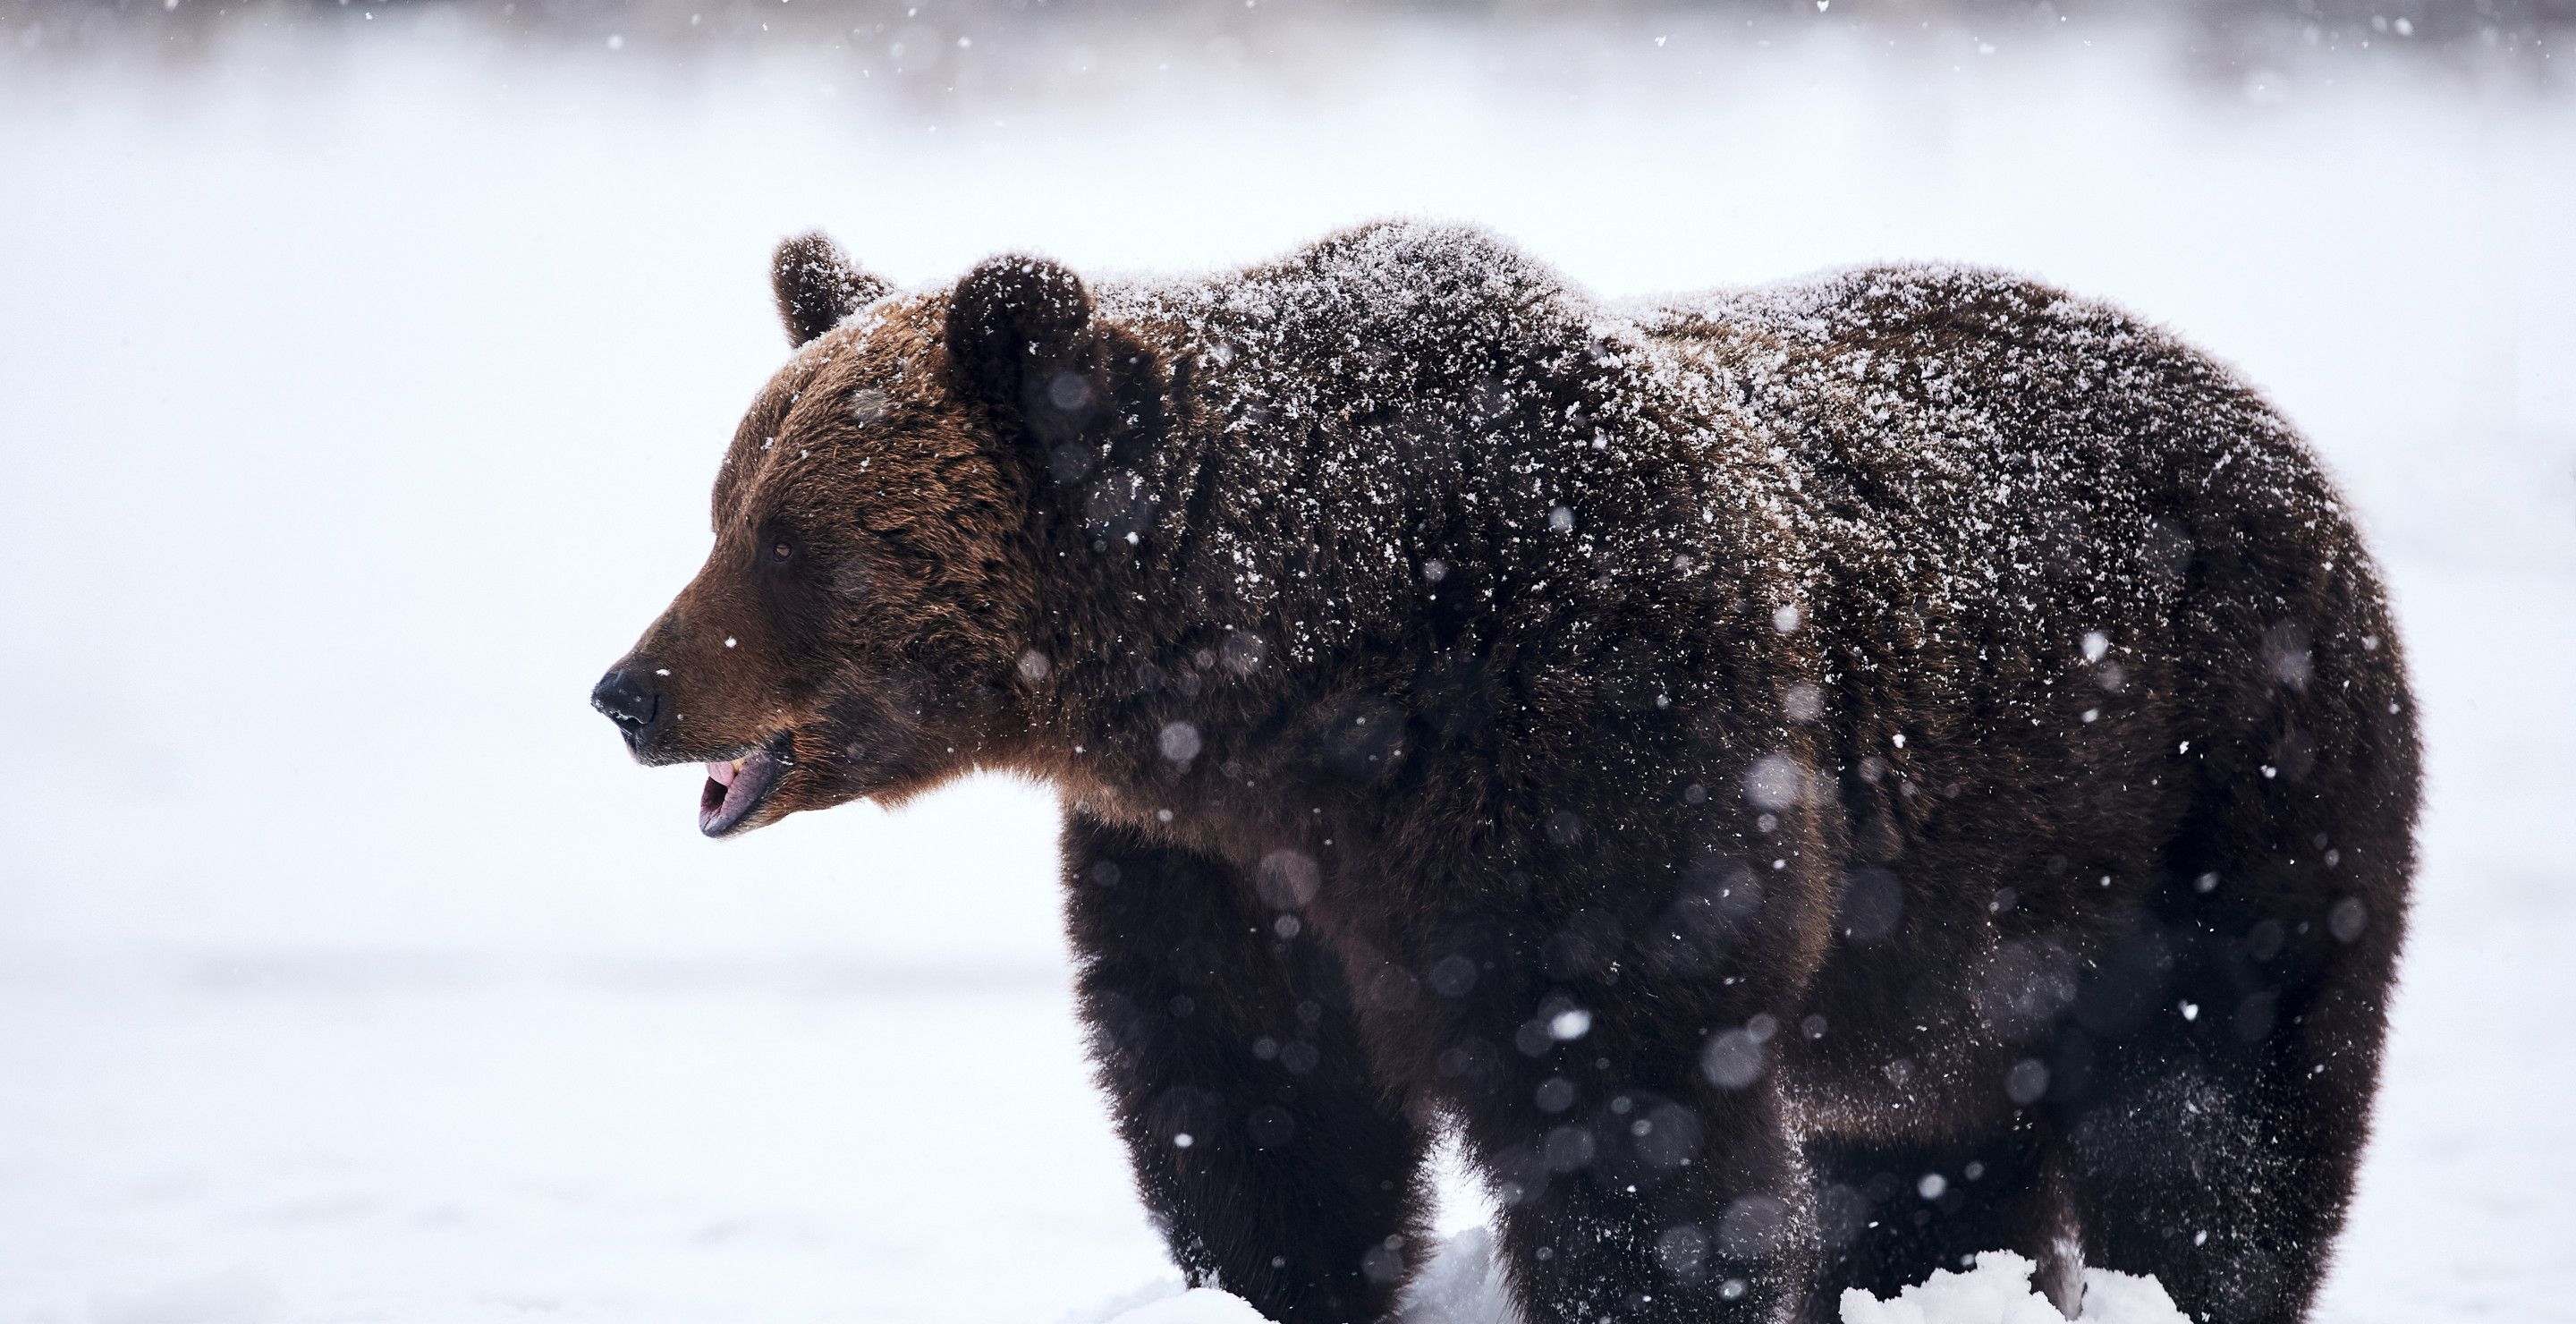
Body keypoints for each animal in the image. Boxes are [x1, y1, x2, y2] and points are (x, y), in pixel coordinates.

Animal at [590, 222, 2417, 1324]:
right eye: (725, 503)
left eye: (794, 541)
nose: (628, 690)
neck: (1299, 686)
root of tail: (2275, 431)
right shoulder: (1225, 870)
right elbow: (1250, 1106)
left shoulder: (1599, 756)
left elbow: (1630, 1115)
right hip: (1969, 928)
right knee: (1930, 1132)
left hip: (2215, 797)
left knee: (2218, 1117)